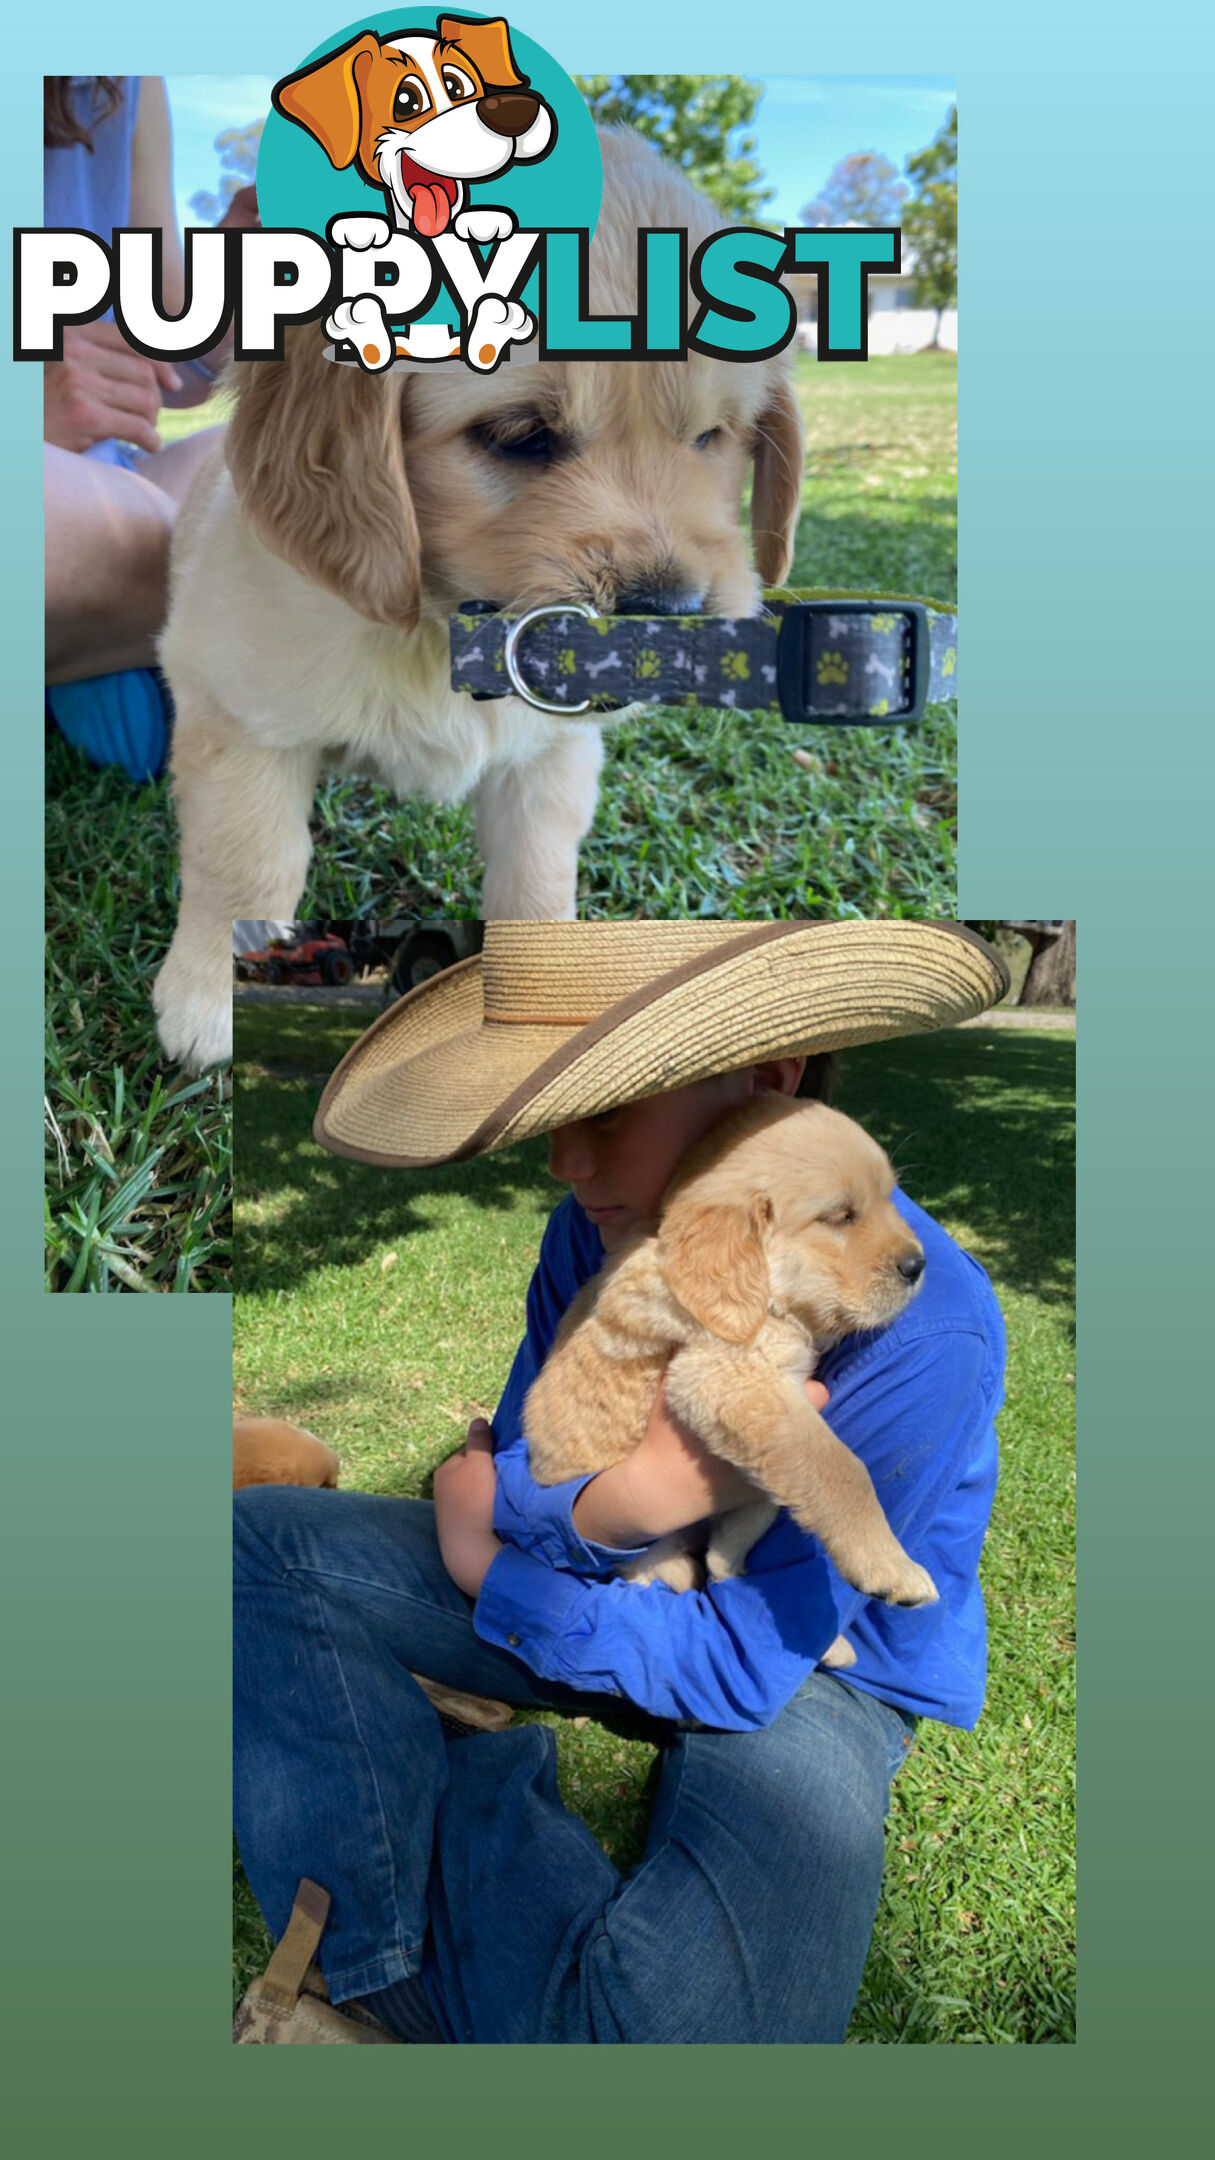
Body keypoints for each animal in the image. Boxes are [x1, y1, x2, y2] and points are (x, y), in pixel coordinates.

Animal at [151, 126, 804, 1071]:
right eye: (518, 435)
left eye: (712, 438)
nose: (674, 617)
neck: (436, 627)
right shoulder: (240, 718)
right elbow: (245, 863)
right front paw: (208, 999)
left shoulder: (549, 757)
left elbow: (536, 882)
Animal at [523, 1105, 938, 1641]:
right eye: (840, 1216)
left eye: (890, 1198)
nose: (918, 1264)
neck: (765, 1296)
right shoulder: (727, 1378)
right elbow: (840, 1468)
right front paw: (890, 1567)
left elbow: (767, 1505)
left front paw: (728, 1557)